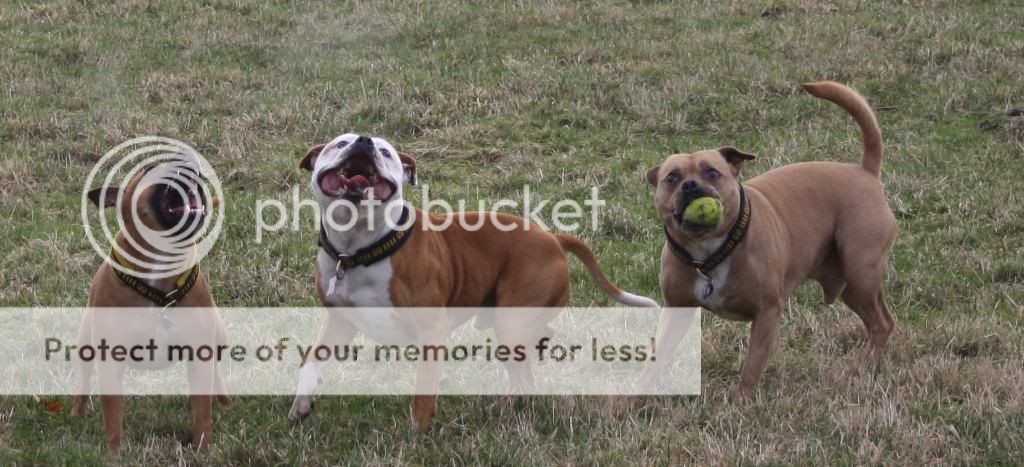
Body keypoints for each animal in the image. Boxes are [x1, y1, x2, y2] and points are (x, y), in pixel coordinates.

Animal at [73, 158, 229, 450]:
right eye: (149, 167)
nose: (188, 157)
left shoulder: (200, 351)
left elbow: (201, 411)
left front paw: (203, 447)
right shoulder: (109, 357)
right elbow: (112, 412)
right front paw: (115, 451)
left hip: (219, 336)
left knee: (216, 371)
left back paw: (224, 401)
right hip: (85, 340)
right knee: (83, 378)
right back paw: (77, 413)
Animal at [288, 132, 655, 430]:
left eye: (386, 151)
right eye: (340, 143)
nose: (363, 141)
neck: (359, 248)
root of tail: (552, 237)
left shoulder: (431, 331)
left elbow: (424, 392)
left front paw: (418, 435)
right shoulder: (340, 321)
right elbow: (309, 363)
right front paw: (302, 404)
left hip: (511, 319)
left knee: (526, 367)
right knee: (539, 341)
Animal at [638, 81, 897, 397]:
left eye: (712, 172)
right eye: (671, 178)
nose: (690, 185)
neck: (710, 253)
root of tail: (865, 172)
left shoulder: (767, 313)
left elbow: (752, 365)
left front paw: (741, 400)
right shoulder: (676, 309)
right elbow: (656, 356)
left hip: (860, 272)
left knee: (882, 323)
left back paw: (866, 367)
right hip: (849, 283)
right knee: (876, 320)